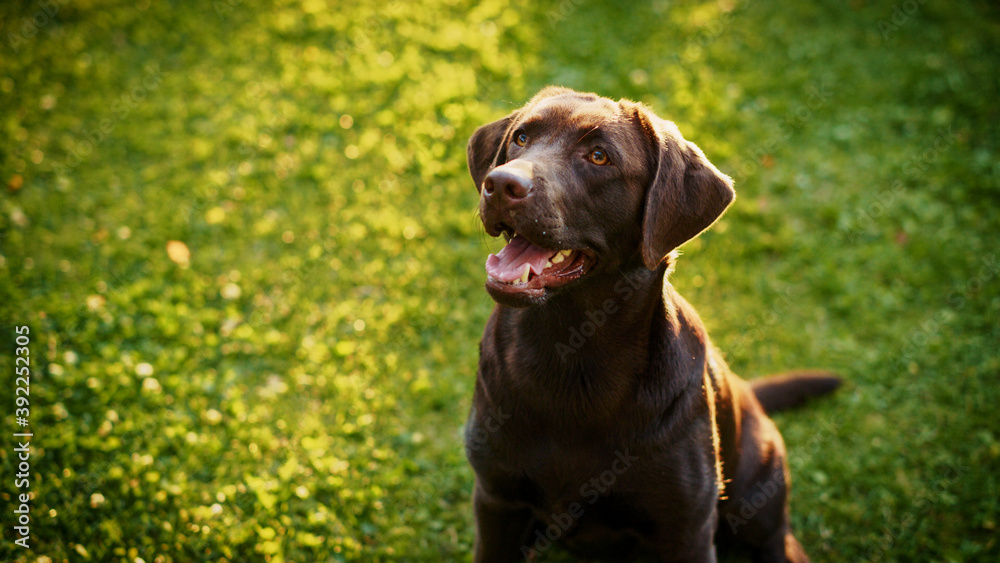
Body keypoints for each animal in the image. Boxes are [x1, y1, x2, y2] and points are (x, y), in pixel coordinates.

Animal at [464, 86, 840, 560]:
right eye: (521, 138)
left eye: (599, 156)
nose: (501, 184)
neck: (571, 351)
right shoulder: (496, 501)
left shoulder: (687, 527)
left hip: (758, 492)